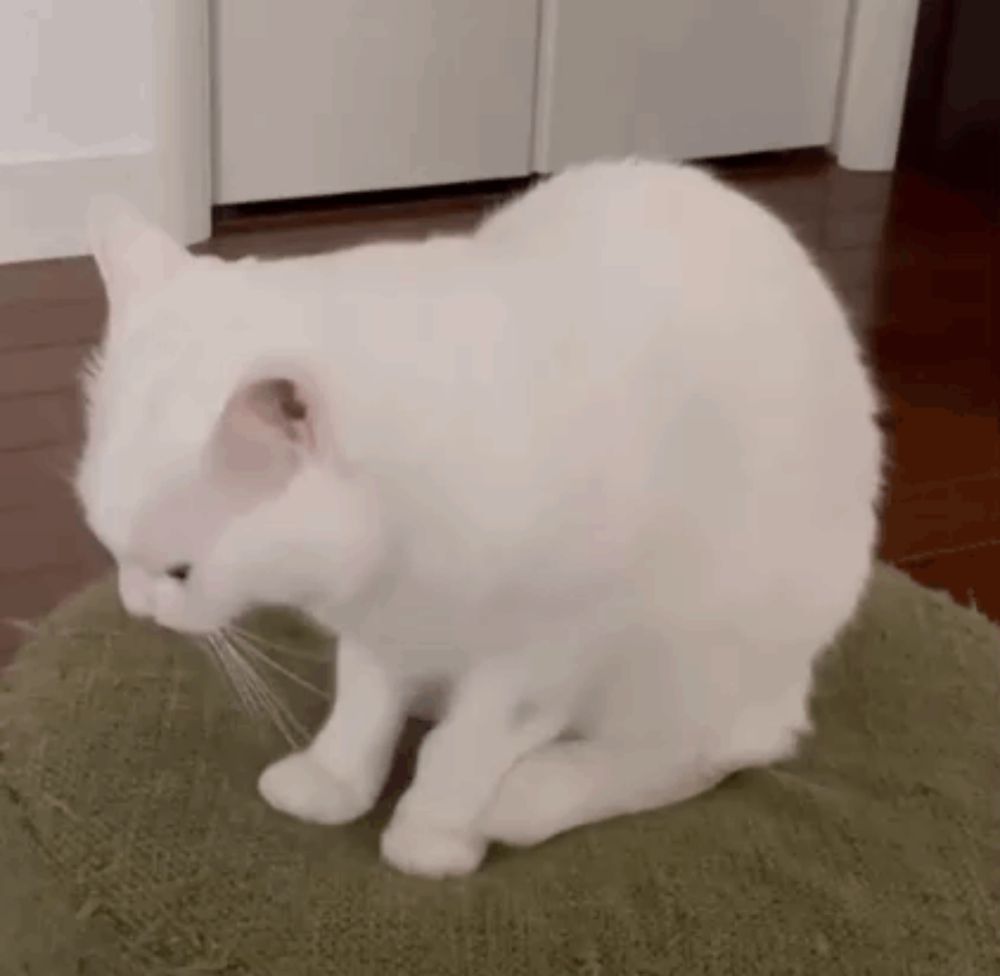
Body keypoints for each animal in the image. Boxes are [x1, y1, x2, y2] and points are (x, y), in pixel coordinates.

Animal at [76, 160, 884, 876]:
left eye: (180, 571)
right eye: (110, 551)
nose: (137, 606)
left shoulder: (549, 649)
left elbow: (466, 749)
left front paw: (434, 835)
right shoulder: (382, 629)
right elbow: (363, 709)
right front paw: (331, 783)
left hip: (690, 656)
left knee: (704, 751)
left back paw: (531, 795)